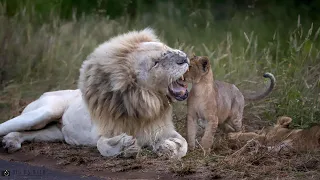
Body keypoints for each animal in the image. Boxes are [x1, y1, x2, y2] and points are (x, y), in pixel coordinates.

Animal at [0, 28, 190, 159]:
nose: (185, 58)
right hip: (43, 113)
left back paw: (11, 142)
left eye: (166, 48)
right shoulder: (103, 131)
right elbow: (102, 146)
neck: (146, 103)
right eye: (155, 63)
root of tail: (44, 94)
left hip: (52, 132)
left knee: (25, 133)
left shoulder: (162, 129)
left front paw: (167, 148)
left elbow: (184, 144)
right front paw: (125, 146)